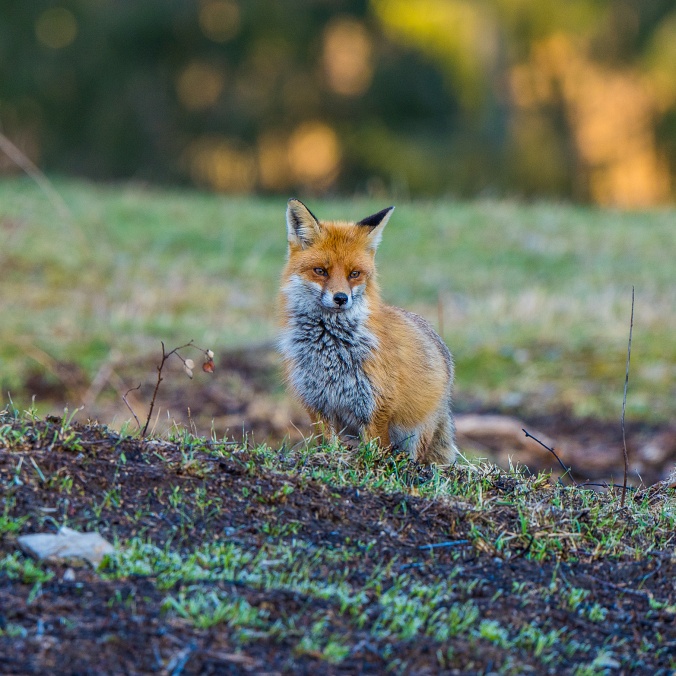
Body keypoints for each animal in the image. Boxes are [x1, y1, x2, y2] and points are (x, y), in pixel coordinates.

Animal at [278, 198, 456, 464]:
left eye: (354, 274)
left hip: (417, 432)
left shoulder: (376, 407)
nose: (341, 298)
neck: (330, 348)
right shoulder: (317, 403)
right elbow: (328, 445)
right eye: (320, 271)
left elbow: (377, 450)